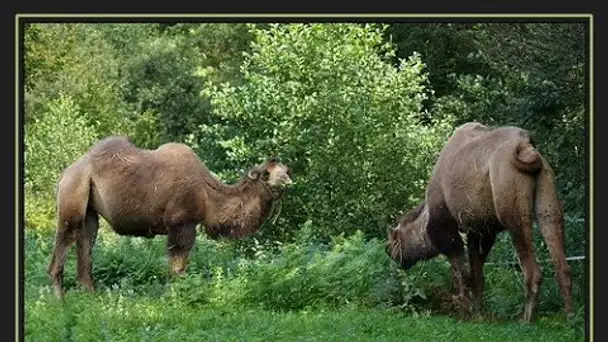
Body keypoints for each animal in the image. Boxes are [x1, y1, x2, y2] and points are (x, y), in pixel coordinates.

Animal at [47, 135, 292, 298]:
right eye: (266, 174)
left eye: (286, 170)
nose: (287, 181)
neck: (207, 193)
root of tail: (66, 172)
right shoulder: (181, 223)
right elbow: (177, 266)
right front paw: (176, 297)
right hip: (73, 191)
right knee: (66, 236)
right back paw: (60, 300)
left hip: (90, 208)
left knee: (86, 240)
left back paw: (90, 295)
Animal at [388, 121, 572, 322]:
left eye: (394, 241)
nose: (391, 253)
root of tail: (526, 147)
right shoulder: (482, 230)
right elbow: (477, 274)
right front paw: (478, 314)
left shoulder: (447, 229)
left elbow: (460, 274)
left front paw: (464, 314)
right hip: (548, 196)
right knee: (561, 261)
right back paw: (570, 315)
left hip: (510, 200)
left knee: (533, 268)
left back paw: (525, 319)